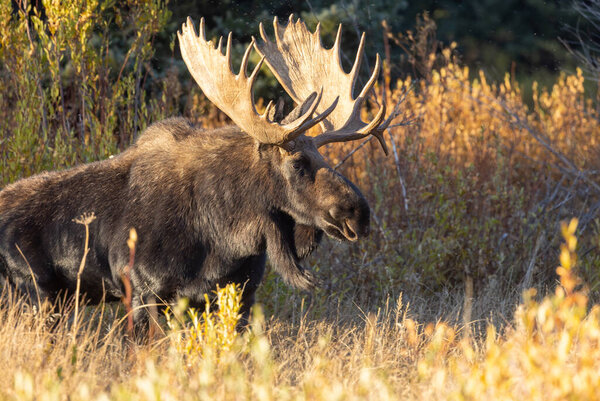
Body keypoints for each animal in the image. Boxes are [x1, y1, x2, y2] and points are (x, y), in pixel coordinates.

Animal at [0, 14, 394, 328]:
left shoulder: (238, 294)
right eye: (298, 164)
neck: (226, 235)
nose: (359, 213)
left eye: (325, 159)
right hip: (36, 294)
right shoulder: (141, 290)